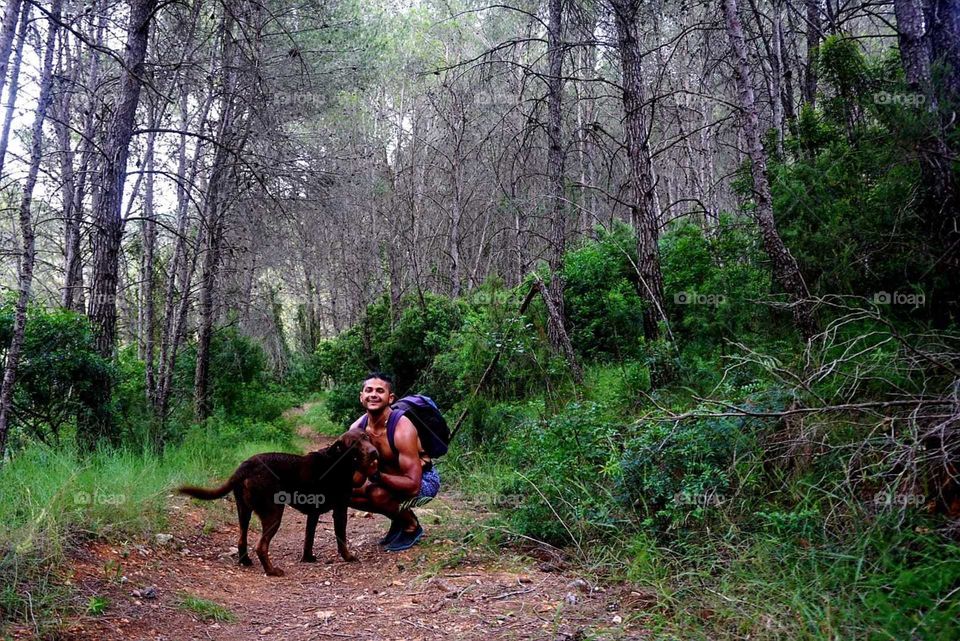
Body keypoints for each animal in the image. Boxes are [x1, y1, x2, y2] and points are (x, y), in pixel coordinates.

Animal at [178, 430, 376, 576]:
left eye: (366, 437)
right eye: (354, 444)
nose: (374, 452)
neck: (338, 461)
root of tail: (245, 466)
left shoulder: (313, 513)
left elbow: (309, 538)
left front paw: (308, 558)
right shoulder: (340, 509)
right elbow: (341, 538)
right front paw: (348, 557)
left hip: (244, 511)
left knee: (242, 539)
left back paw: (245, 561)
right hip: (273, 513)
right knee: (261, 546)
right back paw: (272, 571)